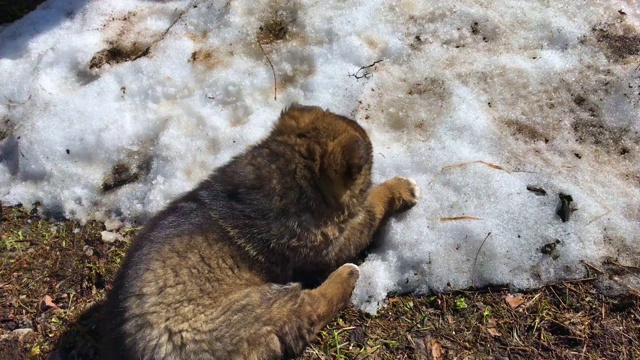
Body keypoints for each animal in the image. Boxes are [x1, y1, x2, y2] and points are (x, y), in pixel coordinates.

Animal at [101, 105, 420, 360]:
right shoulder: (330, 242)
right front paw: (399, 188)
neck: (287, 172)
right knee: (313, 308)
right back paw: (347, 275)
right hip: (267, 307)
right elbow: (371, 208)